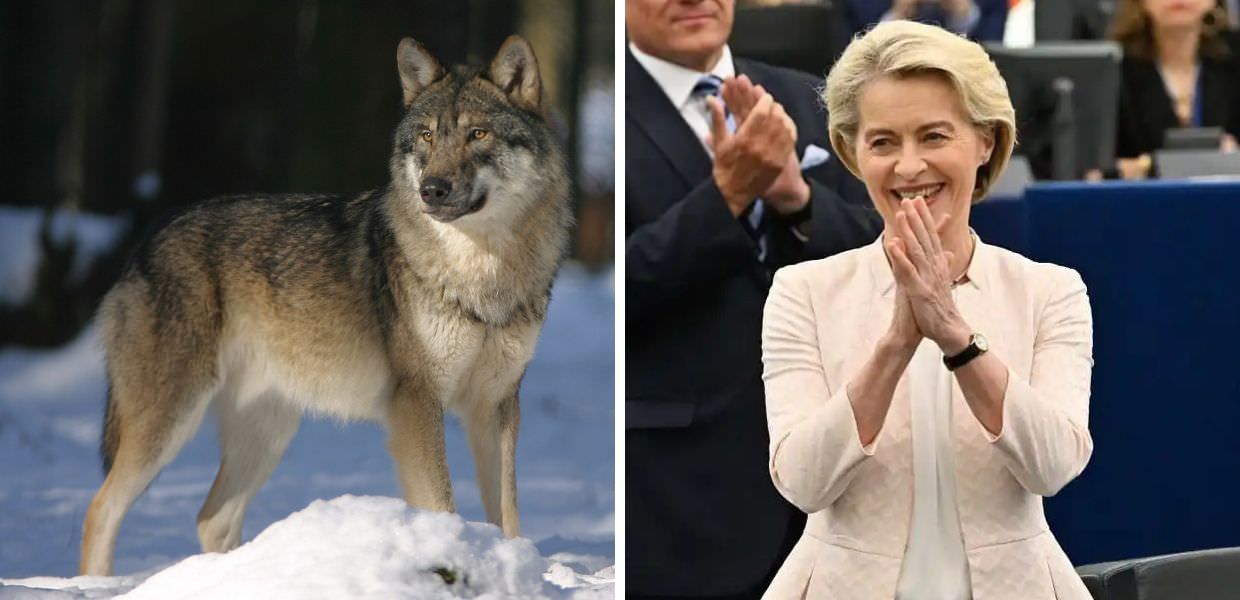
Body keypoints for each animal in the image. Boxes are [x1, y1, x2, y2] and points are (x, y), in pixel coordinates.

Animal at [78, 35, 571, 576]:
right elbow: (443, 503)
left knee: (211, 517)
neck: (481, 274)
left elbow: (508, 515)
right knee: (101, 507)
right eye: (425, 136)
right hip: (170, 421)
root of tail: (147, 239)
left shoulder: (497, 405)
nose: (432, 190)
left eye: (477, 133)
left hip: (268, 432)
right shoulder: (417, 403)